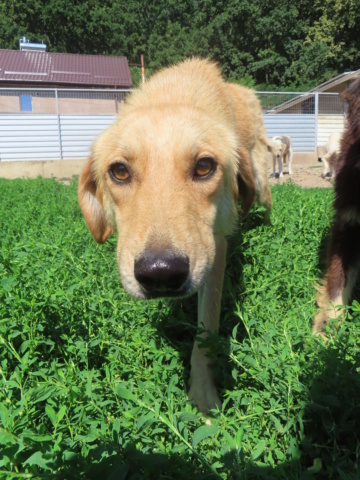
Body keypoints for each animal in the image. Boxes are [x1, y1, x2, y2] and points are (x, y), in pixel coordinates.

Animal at [77, 58, 272, 412]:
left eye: (205, 166)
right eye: (120, 171)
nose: (160, 274)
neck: (172, 95)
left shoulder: (215, 249)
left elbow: (205, 333)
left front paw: (204, 396)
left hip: (262, 180)